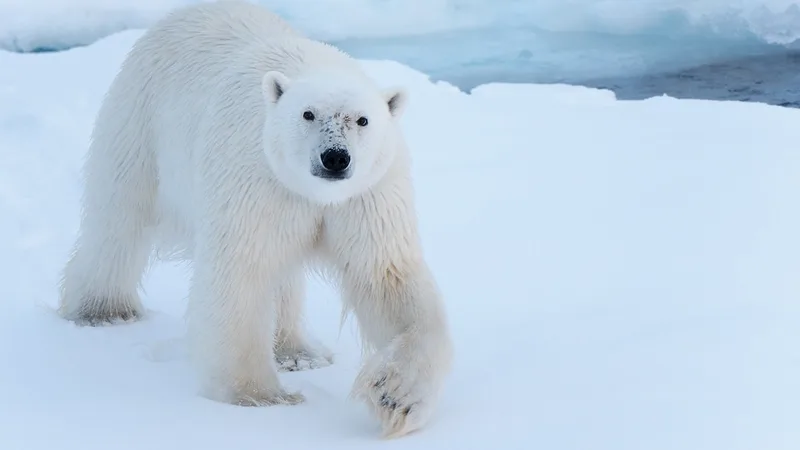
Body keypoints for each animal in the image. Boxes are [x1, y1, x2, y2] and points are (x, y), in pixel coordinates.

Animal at [57, 0, 453, 438]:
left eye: (362, 120)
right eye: (307, 114)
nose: (334, 158)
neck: (315, 194)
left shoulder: (367, 196)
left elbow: (387, 277)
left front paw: (396, 396)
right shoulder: (257, 178)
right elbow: (241, 271)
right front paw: (259, 396)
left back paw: (298, 353)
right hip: (141, 119)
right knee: (119, 215)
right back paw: (103, 309)